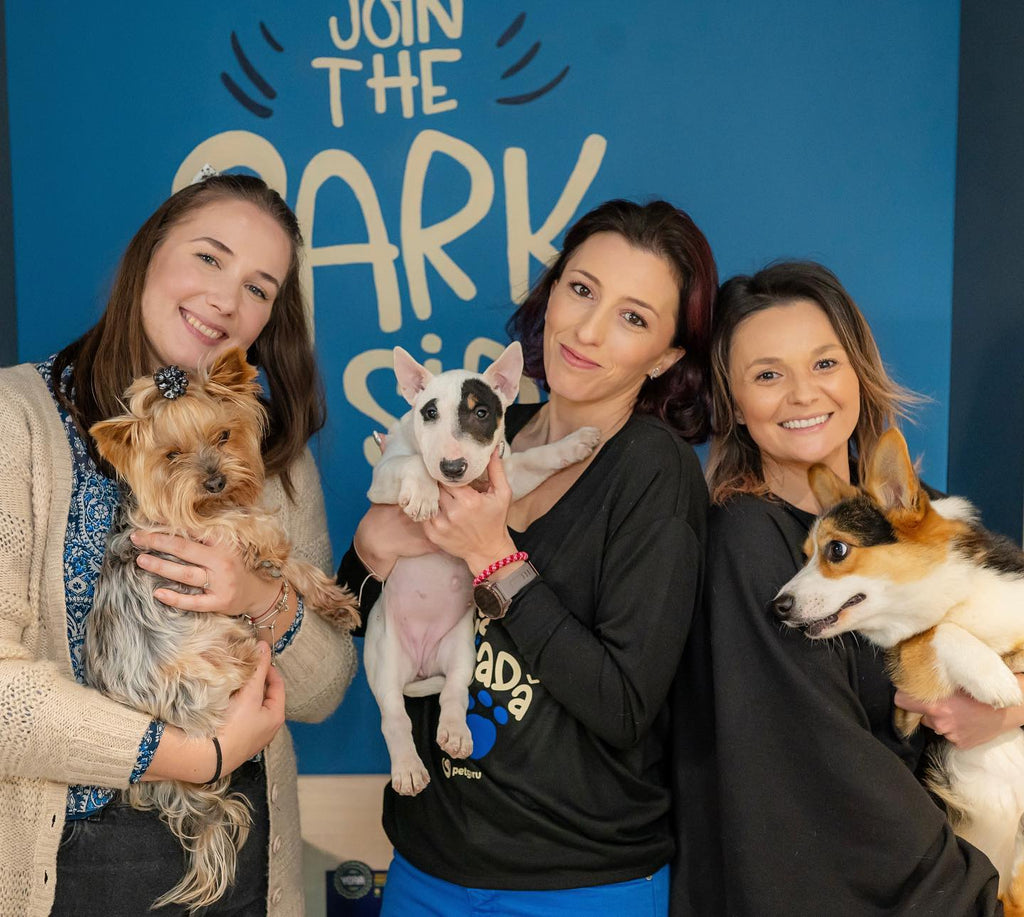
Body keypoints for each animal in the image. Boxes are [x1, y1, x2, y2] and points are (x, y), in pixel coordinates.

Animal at [363, 342, 600, 795]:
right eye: (429, 412)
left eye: (482, 412)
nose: (452, 468)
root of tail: (422, 666)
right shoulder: (381, 480)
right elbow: (411, 465)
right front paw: (424, 494)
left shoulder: (507, 476)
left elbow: (536, 458)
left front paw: (576, 443)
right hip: (384, 660)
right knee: (393, 718)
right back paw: (408, 768)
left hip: (460, 651)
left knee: (453, 694)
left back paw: (456, 732)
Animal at [772, 427, 1024, 915]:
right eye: (804, 555)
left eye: (836, 550)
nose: (778, 607)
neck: (956, 595)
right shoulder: (909, 704)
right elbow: (935, 633)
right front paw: (994, 679)